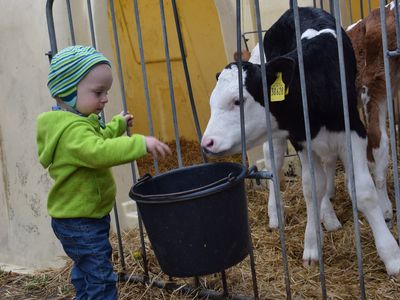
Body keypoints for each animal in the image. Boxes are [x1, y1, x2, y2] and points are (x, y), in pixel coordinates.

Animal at [202, 7, 400, 278]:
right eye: (212, 102)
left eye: (238, 100)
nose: (207, 142)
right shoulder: (301, 140)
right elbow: (311, 188)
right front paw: (312, 245)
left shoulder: (353, 132)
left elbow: (363, 191)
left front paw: (391, 256)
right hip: (278, 139)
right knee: (274, 161)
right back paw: (277, 214)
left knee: (326, 170)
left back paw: (328, 216)